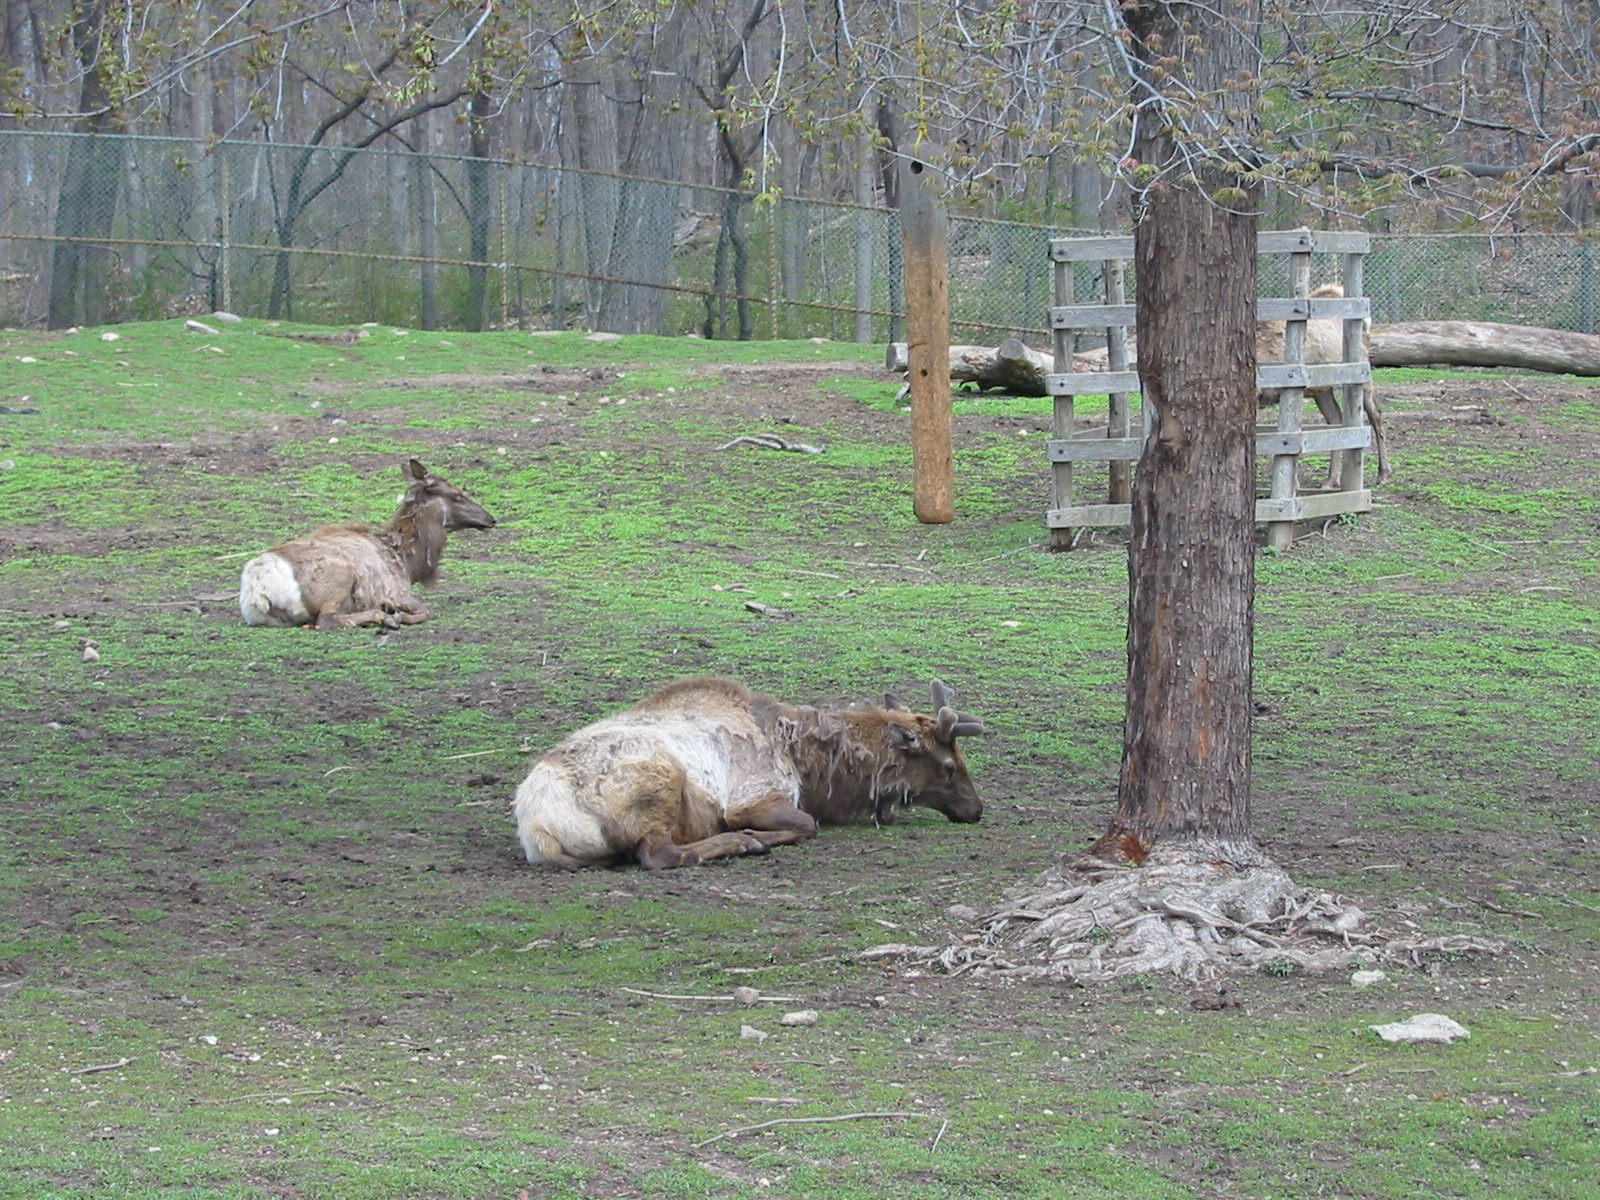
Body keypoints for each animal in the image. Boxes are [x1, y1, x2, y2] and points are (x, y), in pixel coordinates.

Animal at [238, 459, 496, 629]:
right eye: (456, 495)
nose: (490, 519)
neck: (407, 563)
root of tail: (258, 592)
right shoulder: (398, 591)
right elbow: (428, 611)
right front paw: (395, 615)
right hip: (339, 579)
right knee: (327, 620)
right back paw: (384, 617)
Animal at [513, 678, 986, 869]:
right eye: (948, 767)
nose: (977, 810)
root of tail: (538, 829)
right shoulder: (756, 796)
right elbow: (806, 824)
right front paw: (755, 837)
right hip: (660, 780)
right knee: (658, 855)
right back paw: (738, 844)